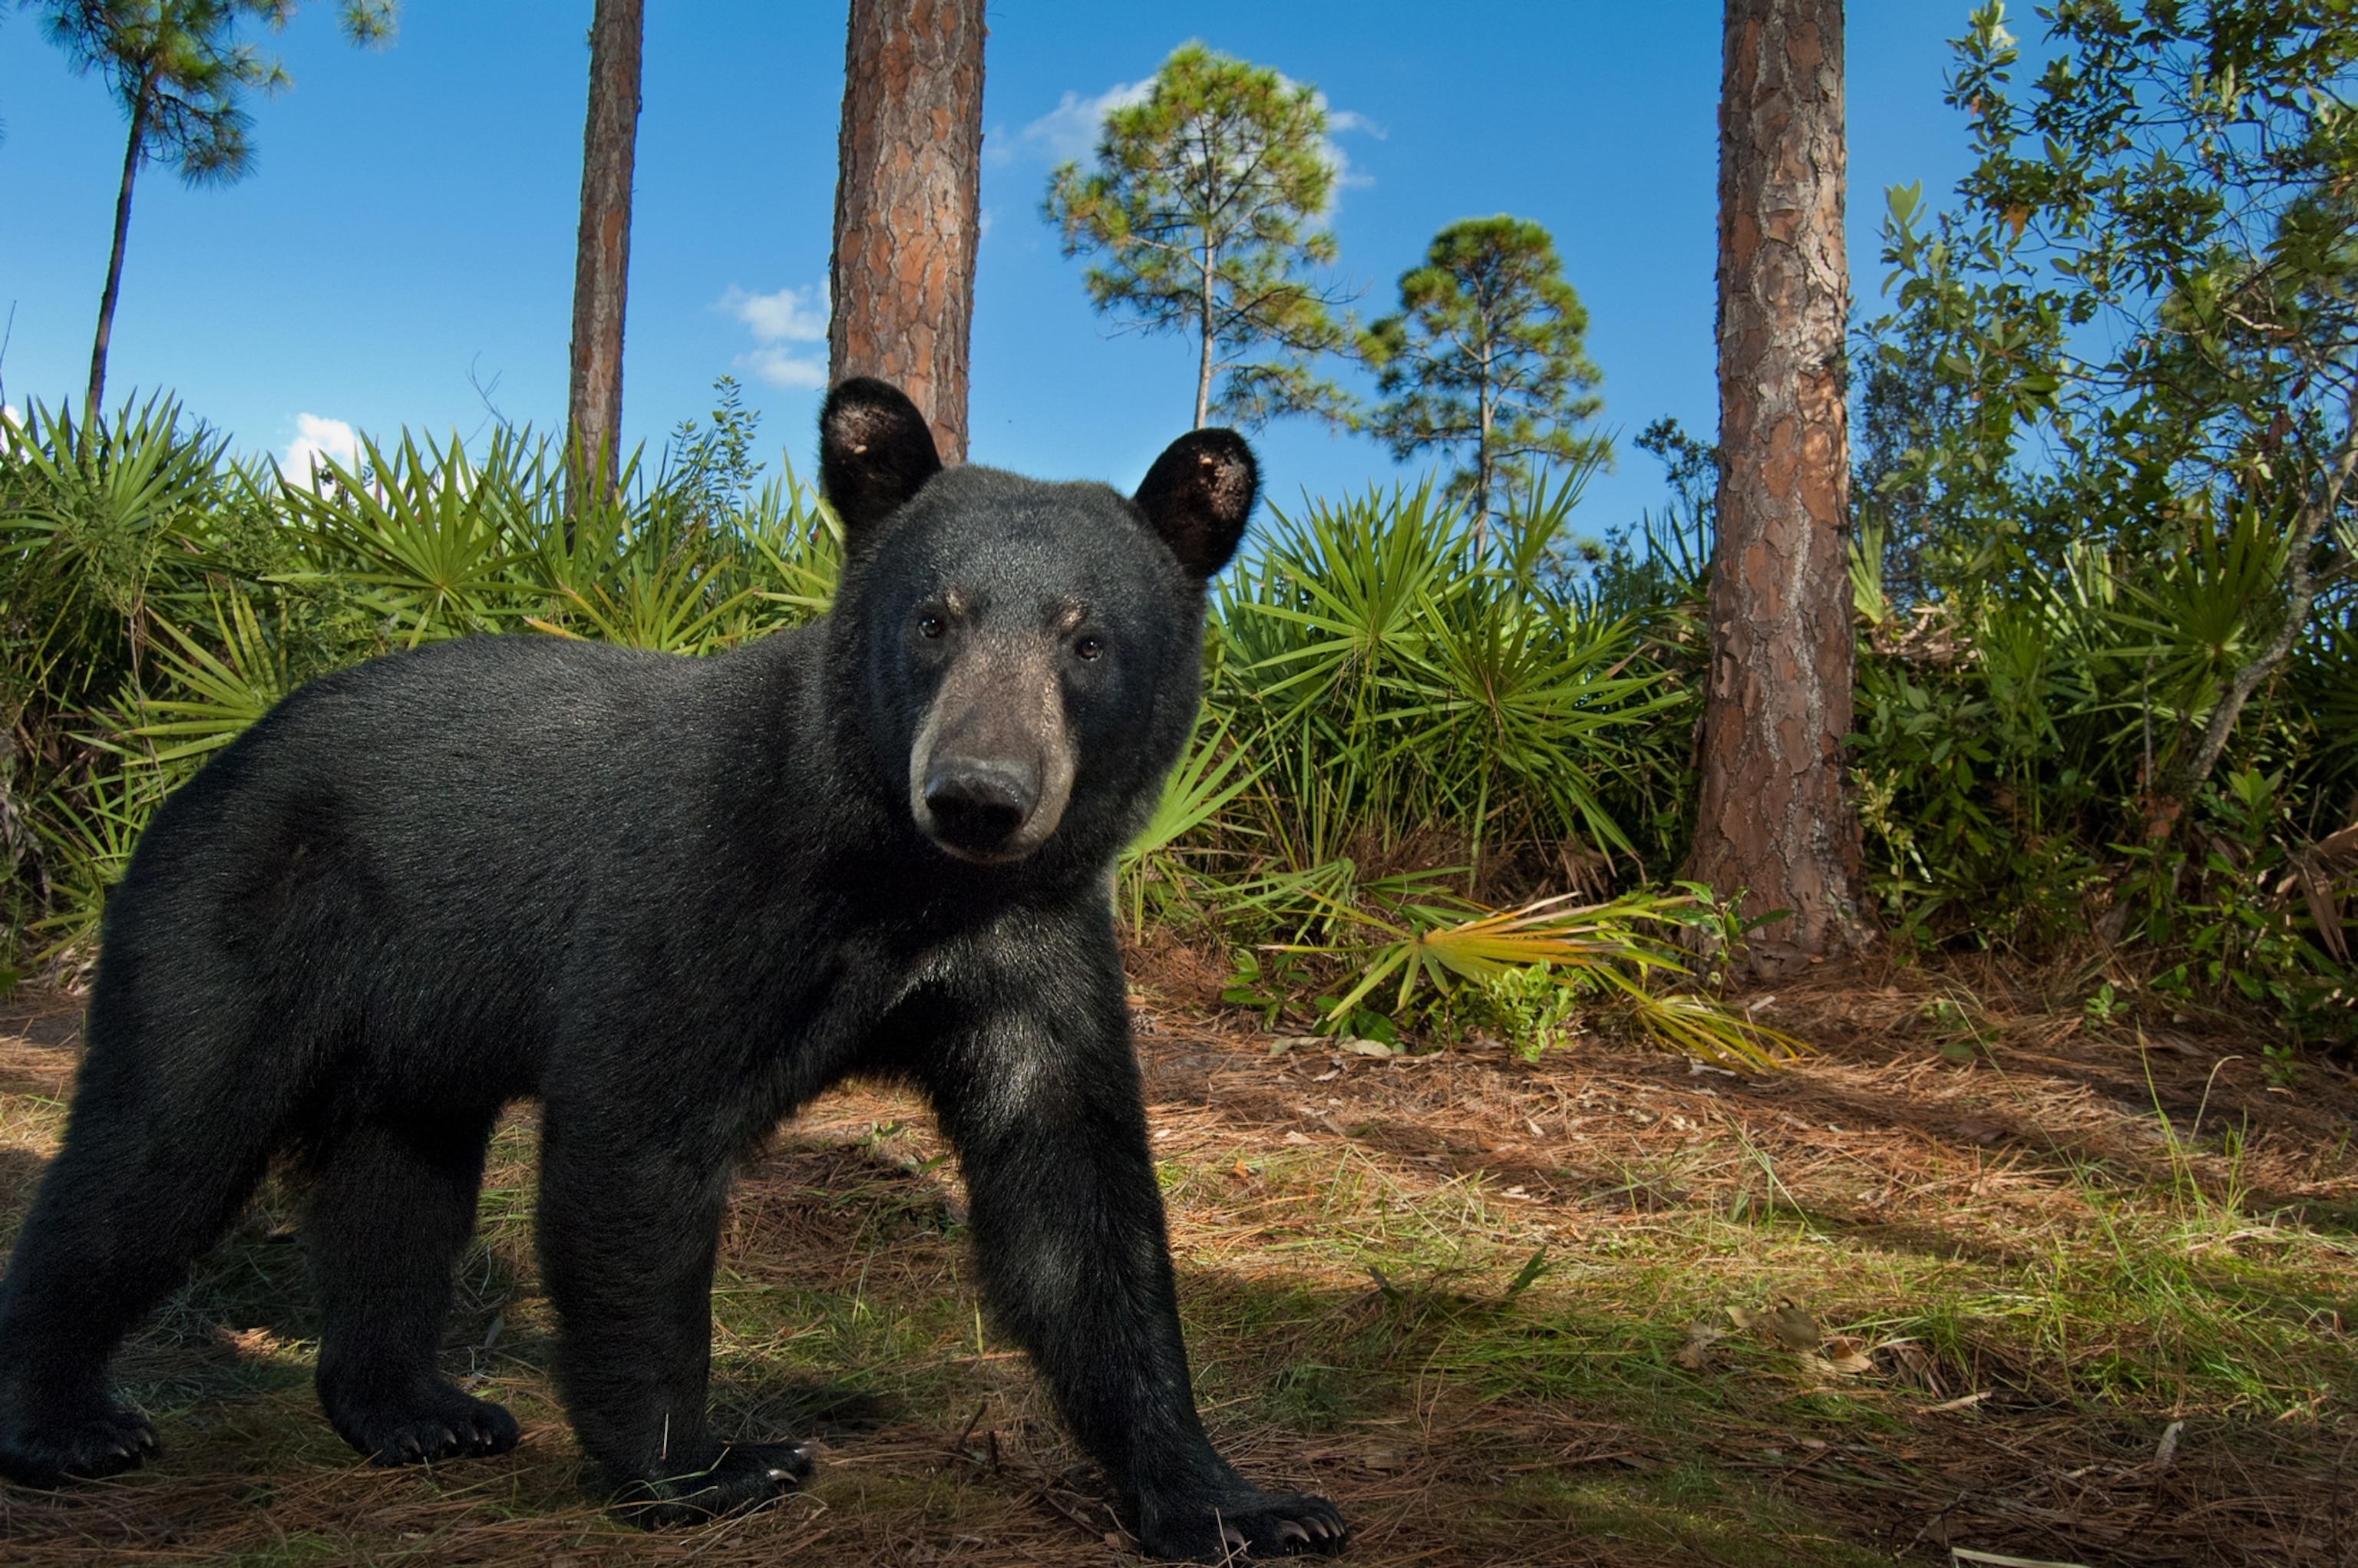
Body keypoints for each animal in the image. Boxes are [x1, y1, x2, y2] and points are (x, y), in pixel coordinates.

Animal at [0, 379, 1345, 1560]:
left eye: (1088, 639)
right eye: (933, 618)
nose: (979, 793)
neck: (903, 882)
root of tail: (215, 759)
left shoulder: (1031, 947)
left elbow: (1074, 1196)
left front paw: (1242, 1500)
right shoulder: (705, 878)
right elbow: (638, 1133)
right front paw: (707, 1463)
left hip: (412, 1025)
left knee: (398, 1188)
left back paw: (419, 1408)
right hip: (230, 923)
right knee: (155, 1149)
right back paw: (68, 1419)